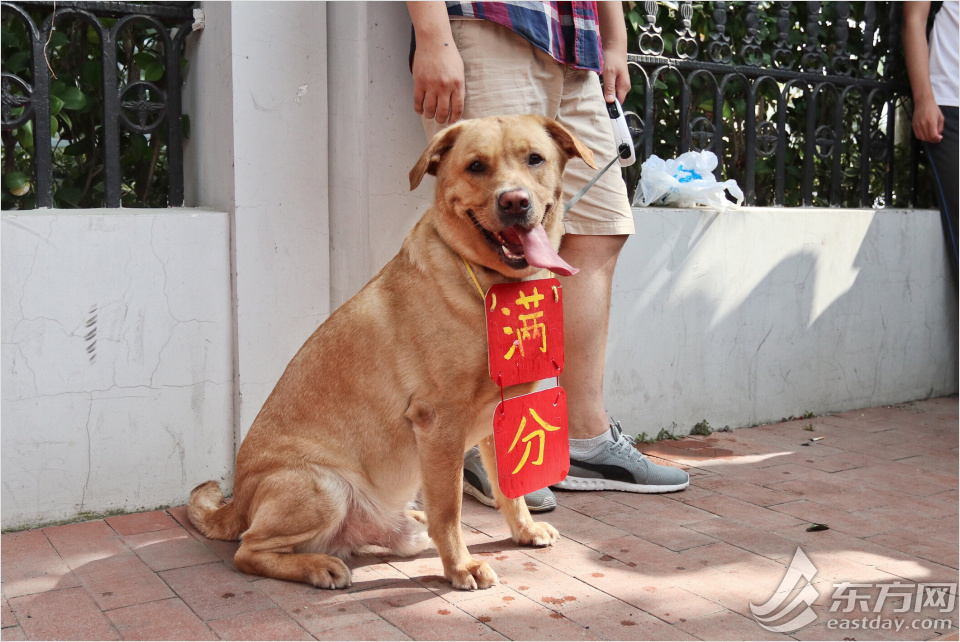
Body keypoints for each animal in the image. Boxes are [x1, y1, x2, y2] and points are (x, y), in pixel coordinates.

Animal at [188, 115, 596, 590]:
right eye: (476, 166)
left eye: (535, 159)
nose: (514, 201)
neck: (490, 284)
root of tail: (236, 504)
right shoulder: (439, 423)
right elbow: (451, 509)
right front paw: (461, 566)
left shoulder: (502, 413)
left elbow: (508, 490)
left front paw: (524, 530)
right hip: (323, 488)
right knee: (248, 551)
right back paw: (317, 566)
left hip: (385, 521)